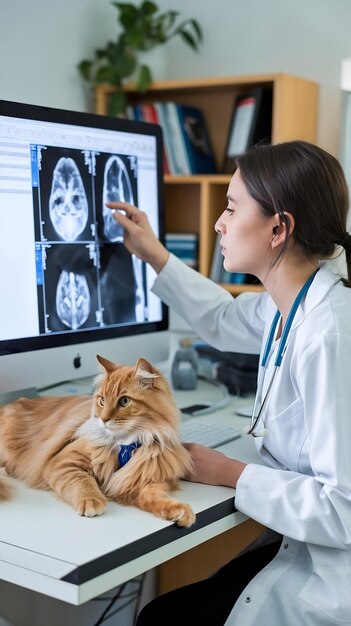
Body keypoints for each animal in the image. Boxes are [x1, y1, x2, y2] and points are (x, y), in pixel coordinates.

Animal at [0, 354, 197, 524]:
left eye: (124, 401)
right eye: (102, 400)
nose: (103, 419)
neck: (126, 443)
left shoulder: (147, 478)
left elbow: (155, 496)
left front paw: (179, 511)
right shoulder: (64, 462)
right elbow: (83, 481)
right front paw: (92, 501)